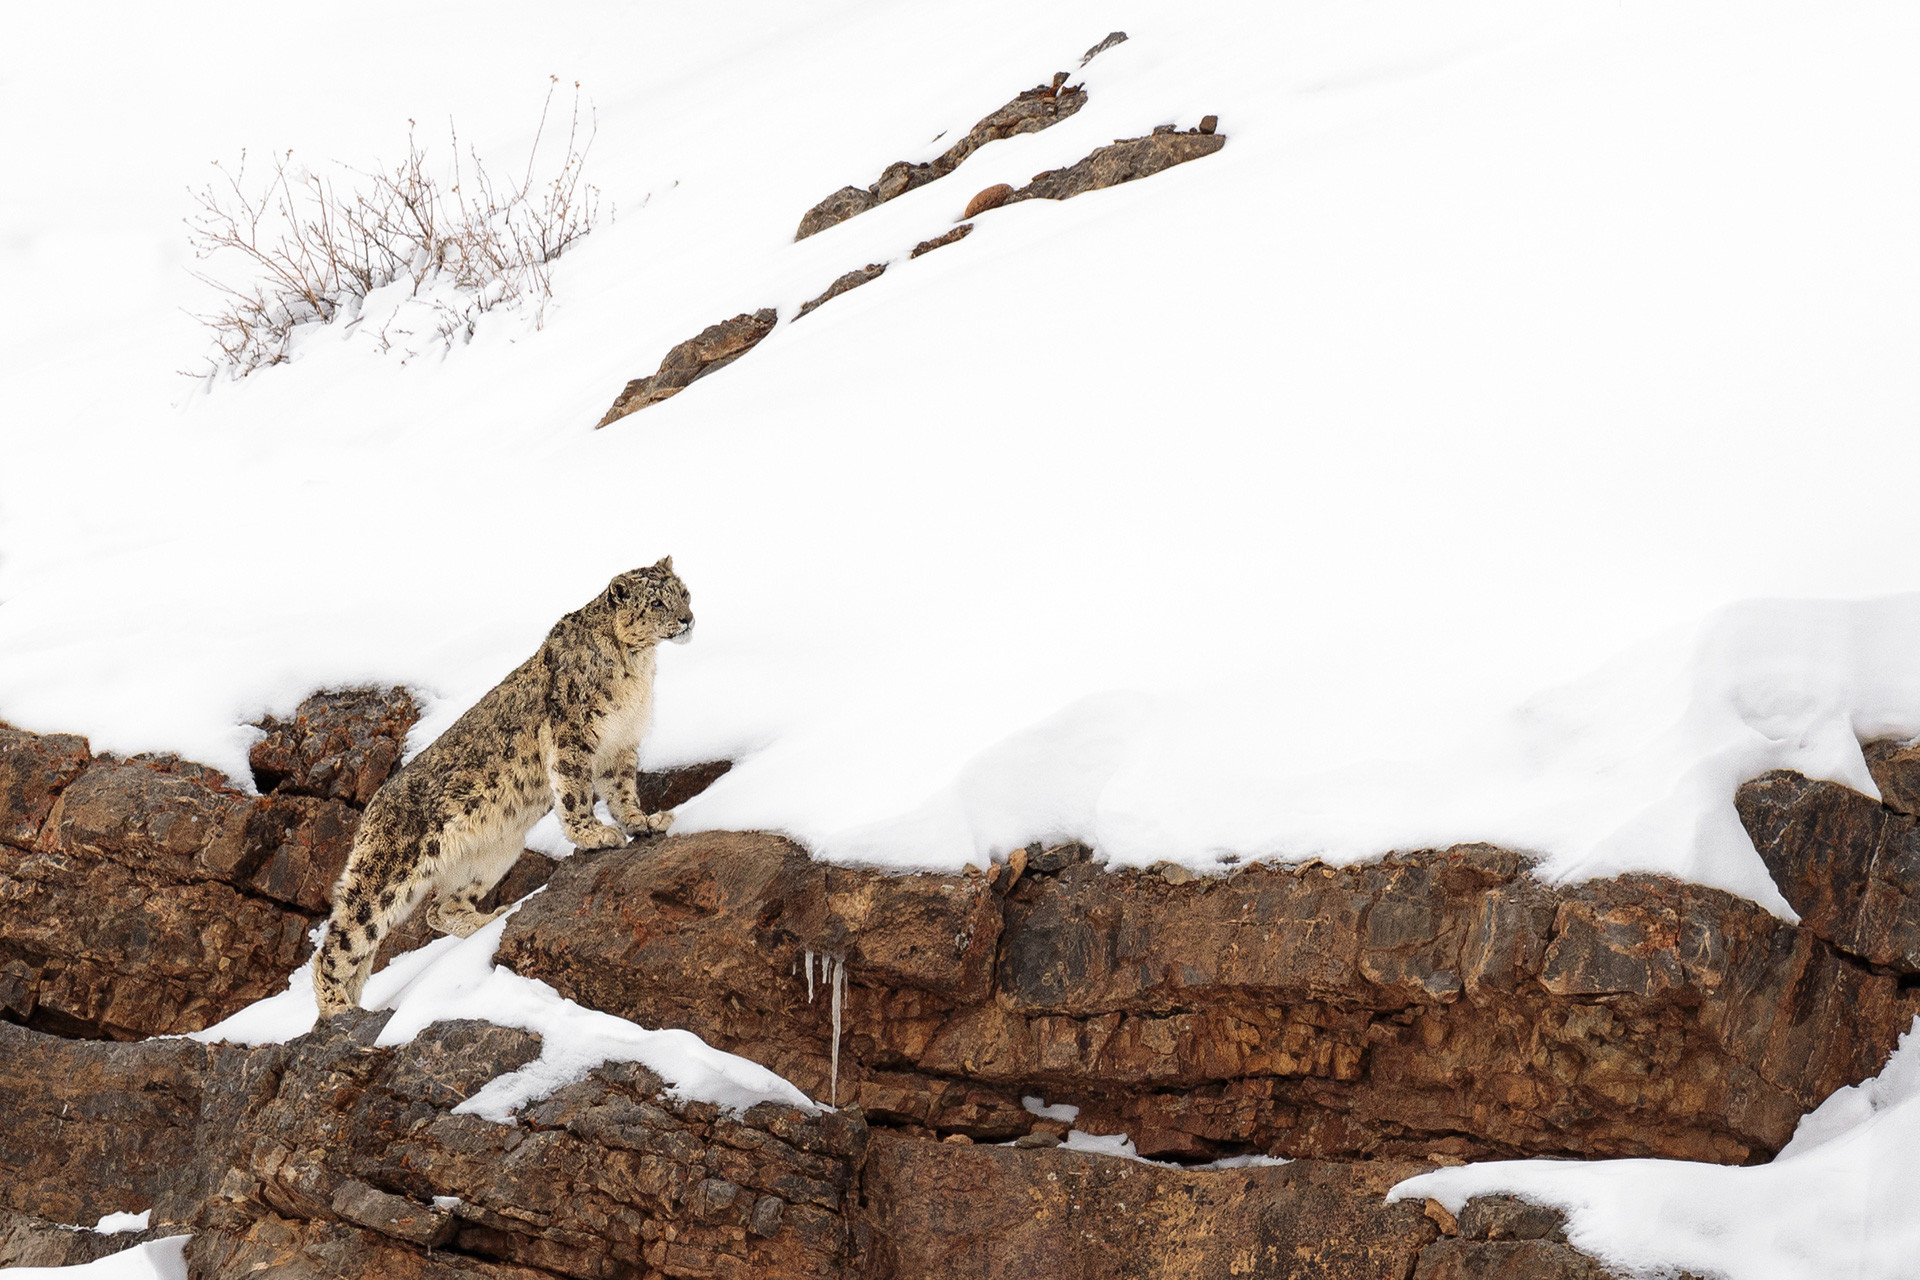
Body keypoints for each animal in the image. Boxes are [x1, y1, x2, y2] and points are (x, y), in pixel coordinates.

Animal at [312, 557, 694, 1017]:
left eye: (684, 593)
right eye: (656, 602)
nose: (688, 619)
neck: (637, 669)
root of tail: (371, 809)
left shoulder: (620, 745)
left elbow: (622, 792)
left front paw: (644, 822)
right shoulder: (572, 735)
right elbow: (574, 791)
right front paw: (595, 834)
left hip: (491, 856)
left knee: (439, 909)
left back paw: (490, 919)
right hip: (385, 876)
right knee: (340, 941)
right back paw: (338, 1008)